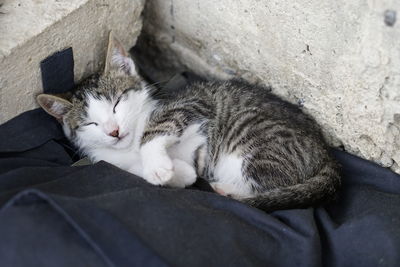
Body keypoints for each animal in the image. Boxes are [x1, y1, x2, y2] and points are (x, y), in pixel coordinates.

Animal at [36, 32, 340, 213]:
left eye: (117, 102)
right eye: (90, 125)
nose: (113, 131)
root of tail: (326, 152)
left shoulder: (192, 104)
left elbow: (157, 131)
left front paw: (159, 166)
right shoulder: (111, 161)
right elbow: (135, 168)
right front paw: (178, 173)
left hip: (258, 145)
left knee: (269, 184)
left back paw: (226, 189)